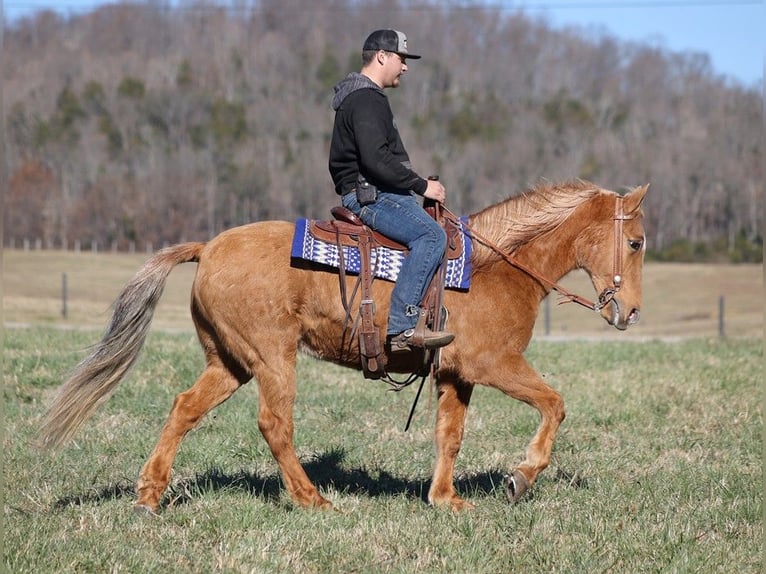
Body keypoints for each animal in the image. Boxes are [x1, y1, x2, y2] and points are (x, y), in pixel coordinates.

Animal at [36, 180, 648, 512]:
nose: (633, 311)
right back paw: (311, 499)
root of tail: (208, 246)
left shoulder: (457, 375)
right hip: (272, 358)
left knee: (184, 408)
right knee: (274, 424)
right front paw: (521, 477)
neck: (495, 269)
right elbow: (555, 404)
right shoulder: (494, 364)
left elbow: (449, 436)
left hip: (229, 362)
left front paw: (445, 498)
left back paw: (149, 495)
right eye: (637, 242)